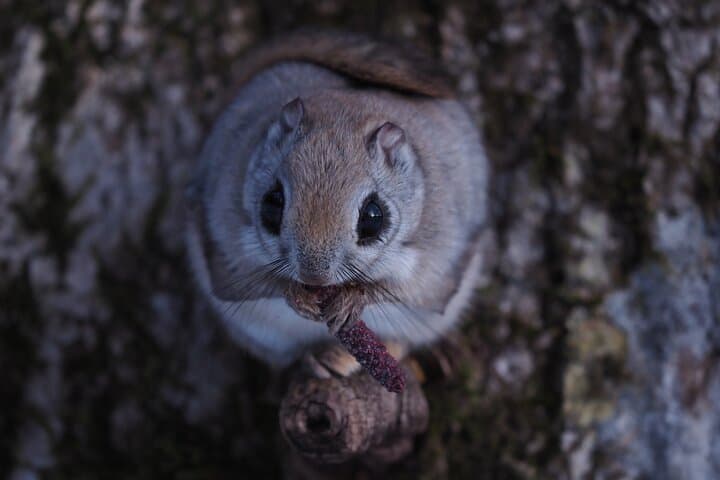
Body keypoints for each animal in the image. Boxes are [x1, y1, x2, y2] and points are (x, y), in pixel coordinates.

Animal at [185, 29, 489, 376]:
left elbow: (407, 291)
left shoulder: (438, 253)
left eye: (373, 217)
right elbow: (251, 282)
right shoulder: (226, 237)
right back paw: (320, 358)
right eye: (272, 204)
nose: (313, 277)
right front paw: (297, 296)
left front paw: (353, 299)